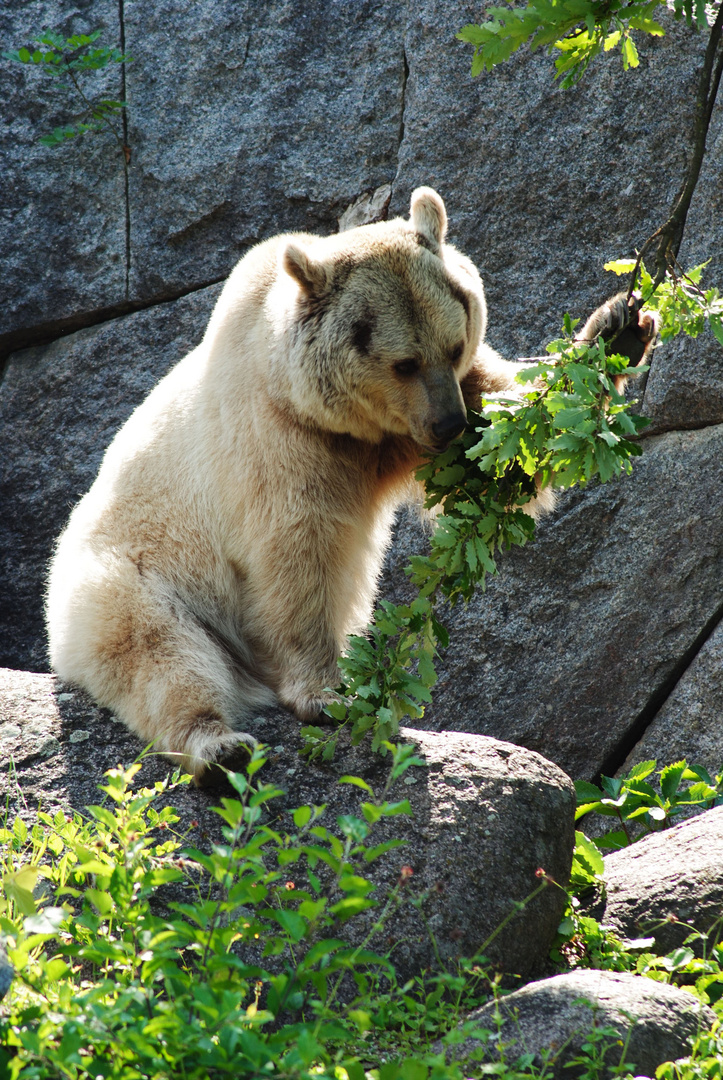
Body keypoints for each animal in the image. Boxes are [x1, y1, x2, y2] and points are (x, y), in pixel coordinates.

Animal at [42, 187, 657, 777]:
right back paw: (219, 747)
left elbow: (509, 450)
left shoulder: (442, 405)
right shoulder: (277, 435)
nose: (449, 425)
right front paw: (325, 692)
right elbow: (299, 547)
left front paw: (620, 328)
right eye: (404, 363)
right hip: (136, 580)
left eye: (454, 346)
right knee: (163, 656)